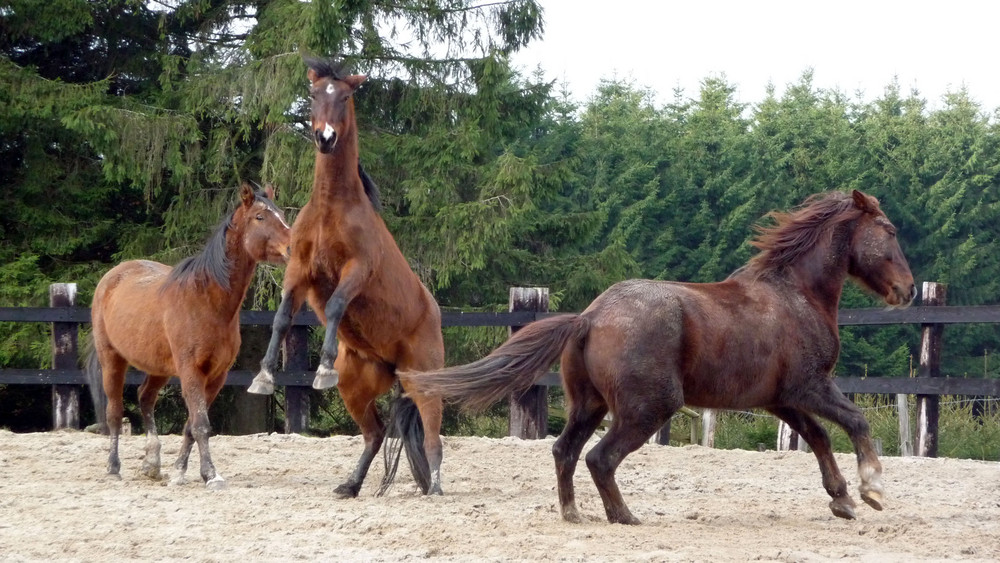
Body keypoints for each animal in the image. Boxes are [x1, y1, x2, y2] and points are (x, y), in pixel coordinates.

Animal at [86, 184, 292, 490]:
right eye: (260, 217)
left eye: (281, 214)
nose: (294, 246)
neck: (206, 300)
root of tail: (113, 276)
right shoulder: (191, 371)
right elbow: (201, 424)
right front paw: (212, 475)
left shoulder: (217, 375)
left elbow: (191, 426)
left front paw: (180, 472)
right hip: (112, 359)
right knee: (114, 412)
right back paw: (113, 468)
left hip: (158, 368)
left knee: (145, 398)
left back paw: (152, 463)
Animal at [247, 57, 446, 498]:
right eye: (313, 94)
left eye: (346, 96)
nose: (325, 137)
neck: (331, 210)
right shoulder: (299, 272)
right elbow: (281, 318)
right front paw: (264, 377)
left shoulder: (357, 271)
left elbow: (338, 304)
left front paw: (322, 367)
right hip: (356, 385)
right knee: (375, 433)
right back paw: (351, 485)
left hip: (423, 381)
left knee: (433, 438)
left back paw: (437, 488)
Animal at [404, 192, 916, 528]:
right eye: (890, 231)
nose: (908, 290)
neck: (796, 295)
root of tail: (590, 316)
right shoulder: (810, 386)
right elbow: (854, 422)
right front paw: (872, 489)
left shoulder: (781, 398)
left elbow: (819, 437)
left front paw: (842, 500)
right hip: (649, 408)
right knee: (600, 458)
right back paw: (624, 516)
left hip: (589, 405)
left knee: (564, 451)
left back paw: (574, 513)